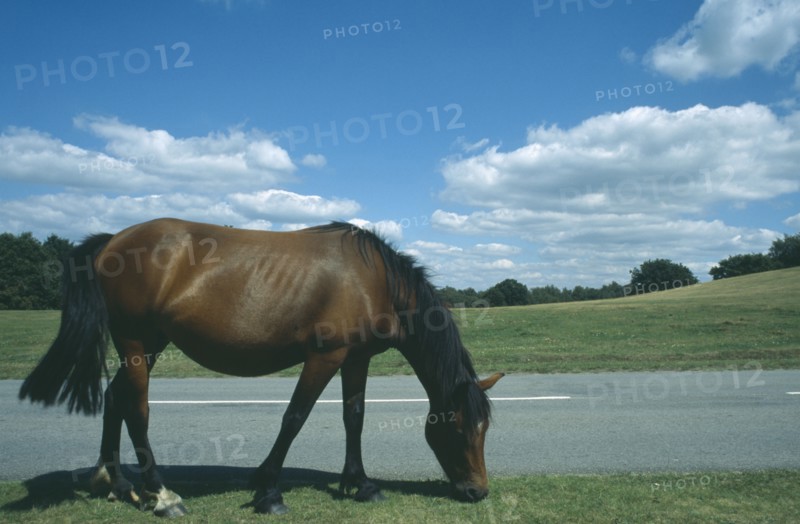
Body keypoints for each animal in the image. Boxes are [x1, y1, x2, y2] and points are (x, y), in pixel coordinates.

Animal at [19, 217, 503, 516]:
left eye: (485, 430)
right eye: (460, 427)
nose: (478, 491)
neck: (374, 280)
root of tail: (113, 240)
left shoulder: (355, 359)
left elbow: (355, 417)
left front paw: (360, 484)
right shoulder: (324, 357)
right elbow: (295, 417)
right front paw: (268, 489)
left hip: (150, 346)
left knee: (115, 397)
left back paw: (117, 483)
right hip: (138, 345)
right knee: (137, 410)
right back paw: (161, 494)